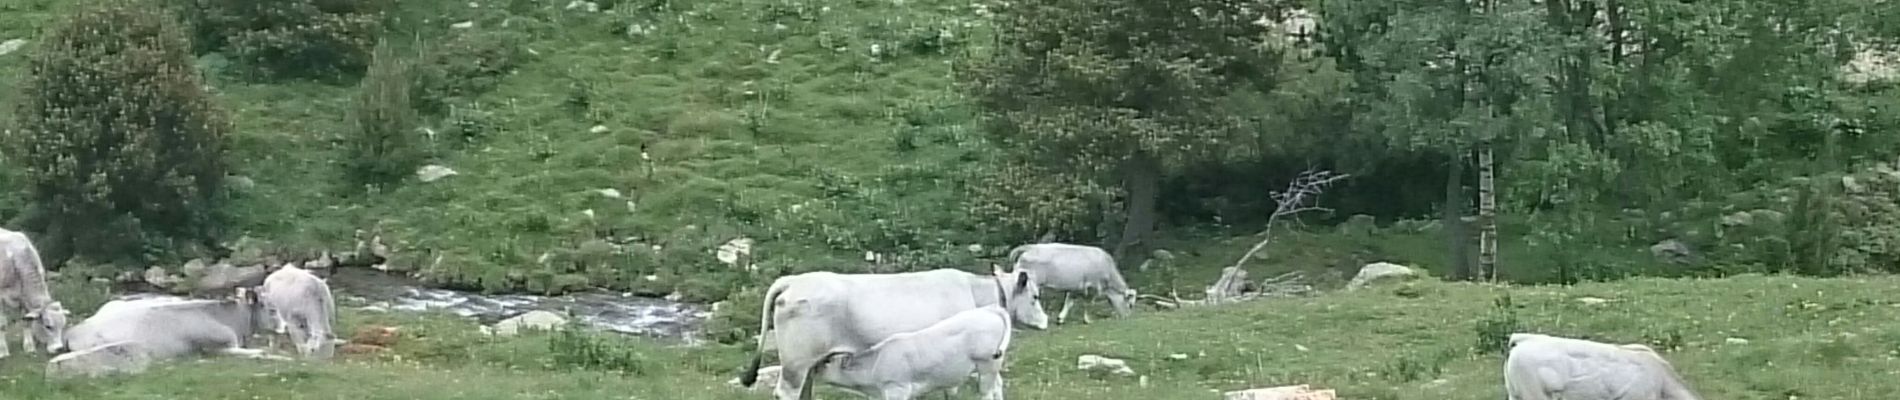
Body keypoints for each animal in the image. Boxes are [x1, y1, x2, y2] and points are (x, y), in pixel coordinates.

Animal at [0, 226, 69, 358]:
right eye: (48, 326)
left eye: (63, 325)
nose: (59, 348)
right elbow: (2, 324)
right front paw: (3, 352)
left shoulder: (23, 297)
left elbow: (26, 321)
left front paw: (29, 348)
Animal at [798, 303, 1018, 400]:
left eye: (827, 361)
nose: (813, 367)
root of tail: (990, 309)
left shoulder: (897, 388)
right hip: (990, 367)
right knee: (998, 386)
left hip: (986, 365)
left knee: (987, 391)